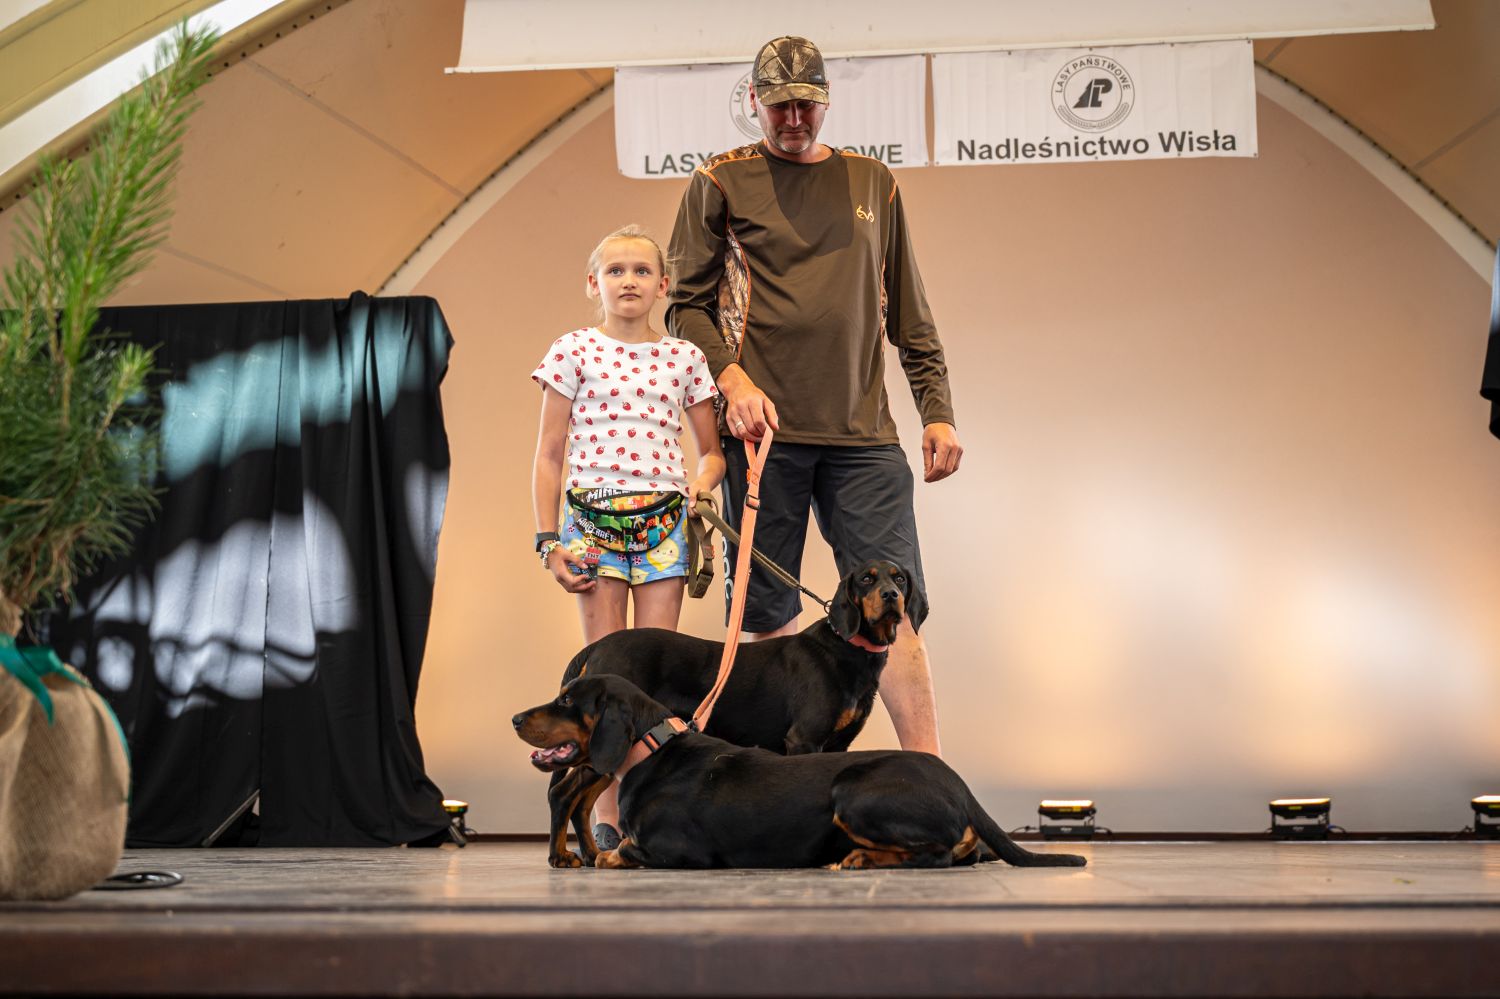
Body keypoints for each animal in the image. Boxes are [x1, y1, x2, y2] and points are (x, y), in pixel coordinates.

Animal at [514, 674, 1088, 870]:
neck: (649, 752)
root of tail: (962, 788)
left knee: (940, 855)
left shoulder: (679, 852)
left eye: (567, 700)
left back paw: (861, 859)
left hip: (853, 792)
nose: (517, 717)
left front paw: (599, 856)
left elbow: (617, 853)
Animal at [535, 559, 918, 868]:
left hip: (614, 749)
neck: (847, 648)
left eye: (899, 578)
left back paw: (590, 854)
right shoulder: (804, 739)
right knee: (563, 794)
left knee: (580, 801)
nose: (890, 596)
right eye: (866, 579)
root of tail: (596, 647)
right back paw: (561, 856)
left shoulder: (838, 745)